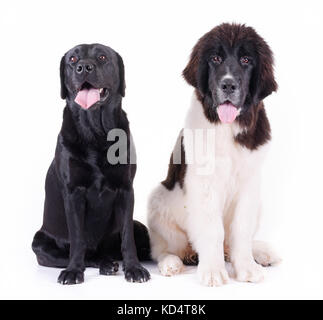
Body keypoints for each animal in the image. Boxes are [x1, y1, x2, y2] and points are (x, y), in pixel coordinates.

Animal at [31, 43, 151, 284]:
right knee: (87, 255)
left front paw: (134, 269)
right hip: (39, 242)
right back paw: (104, 264)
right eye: (73, 59)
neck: (96, 133)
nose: (83, 67)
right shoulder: (73, 192)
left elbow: (127, 237)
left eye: (102, 57)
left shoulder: (126, 190)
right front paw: (73, 271)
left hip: (140, 227)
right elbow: (78, 239)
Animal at [149, 23, 280, 286]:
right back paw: (173, 263)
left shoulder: (250, 184)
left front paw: (246, 267)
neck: (227, 127)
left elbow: (241, 228)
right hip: (158, 200)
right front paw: (212, 271)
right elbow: (212, 229)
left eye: (246, 60)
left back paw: (260, 252)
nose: (228, 85)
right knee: (163, 249)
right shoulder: (204, 186)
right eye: (215, 59)